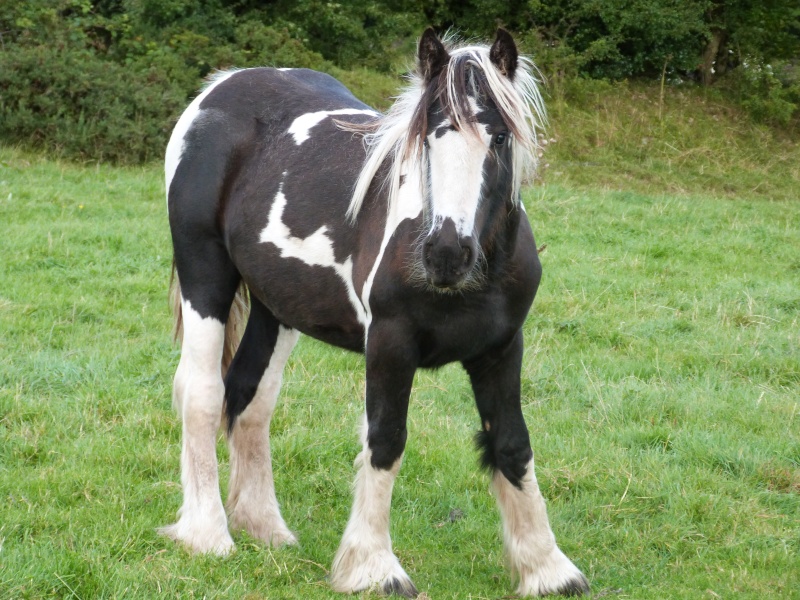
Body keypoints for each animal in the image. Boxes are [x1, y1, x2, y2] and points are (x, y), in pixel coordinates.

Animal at [162, 27, 592, 596]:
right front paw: (373, 567)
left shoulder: (501, 348)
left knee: (251, 396)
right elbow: (384, 440)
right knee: (204, 394)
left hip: (277, 307)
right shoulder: (390, 343)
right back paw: (209, 533)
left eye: (499, 137)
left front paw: (547, 569)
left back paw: (265, 528)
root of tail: (218, 89)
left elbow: (512, 443)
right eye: (429, 135)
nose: (445, 254)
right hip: (205, 276)